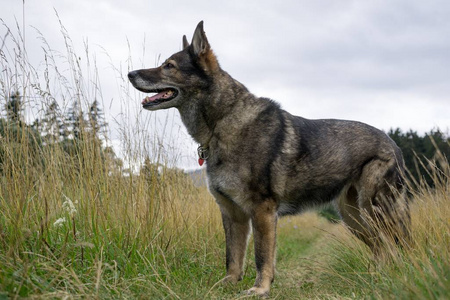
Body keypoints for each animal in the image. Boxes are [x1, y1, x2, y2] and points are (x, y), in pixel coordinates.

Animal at [127, 21, 412, 298]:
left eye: (168, 66)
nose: (130, 74)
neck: (224, 120)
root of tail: (393, 144)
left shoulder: (262, 211)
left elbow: (261, 256)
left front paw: (260, 289)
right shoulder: (232, 214)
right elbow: (233, 258)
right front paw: (227, 284)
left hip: (375, 210)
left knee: (394, 245)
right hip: (354, 217)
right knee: (381, 247)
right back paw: (376, 278)